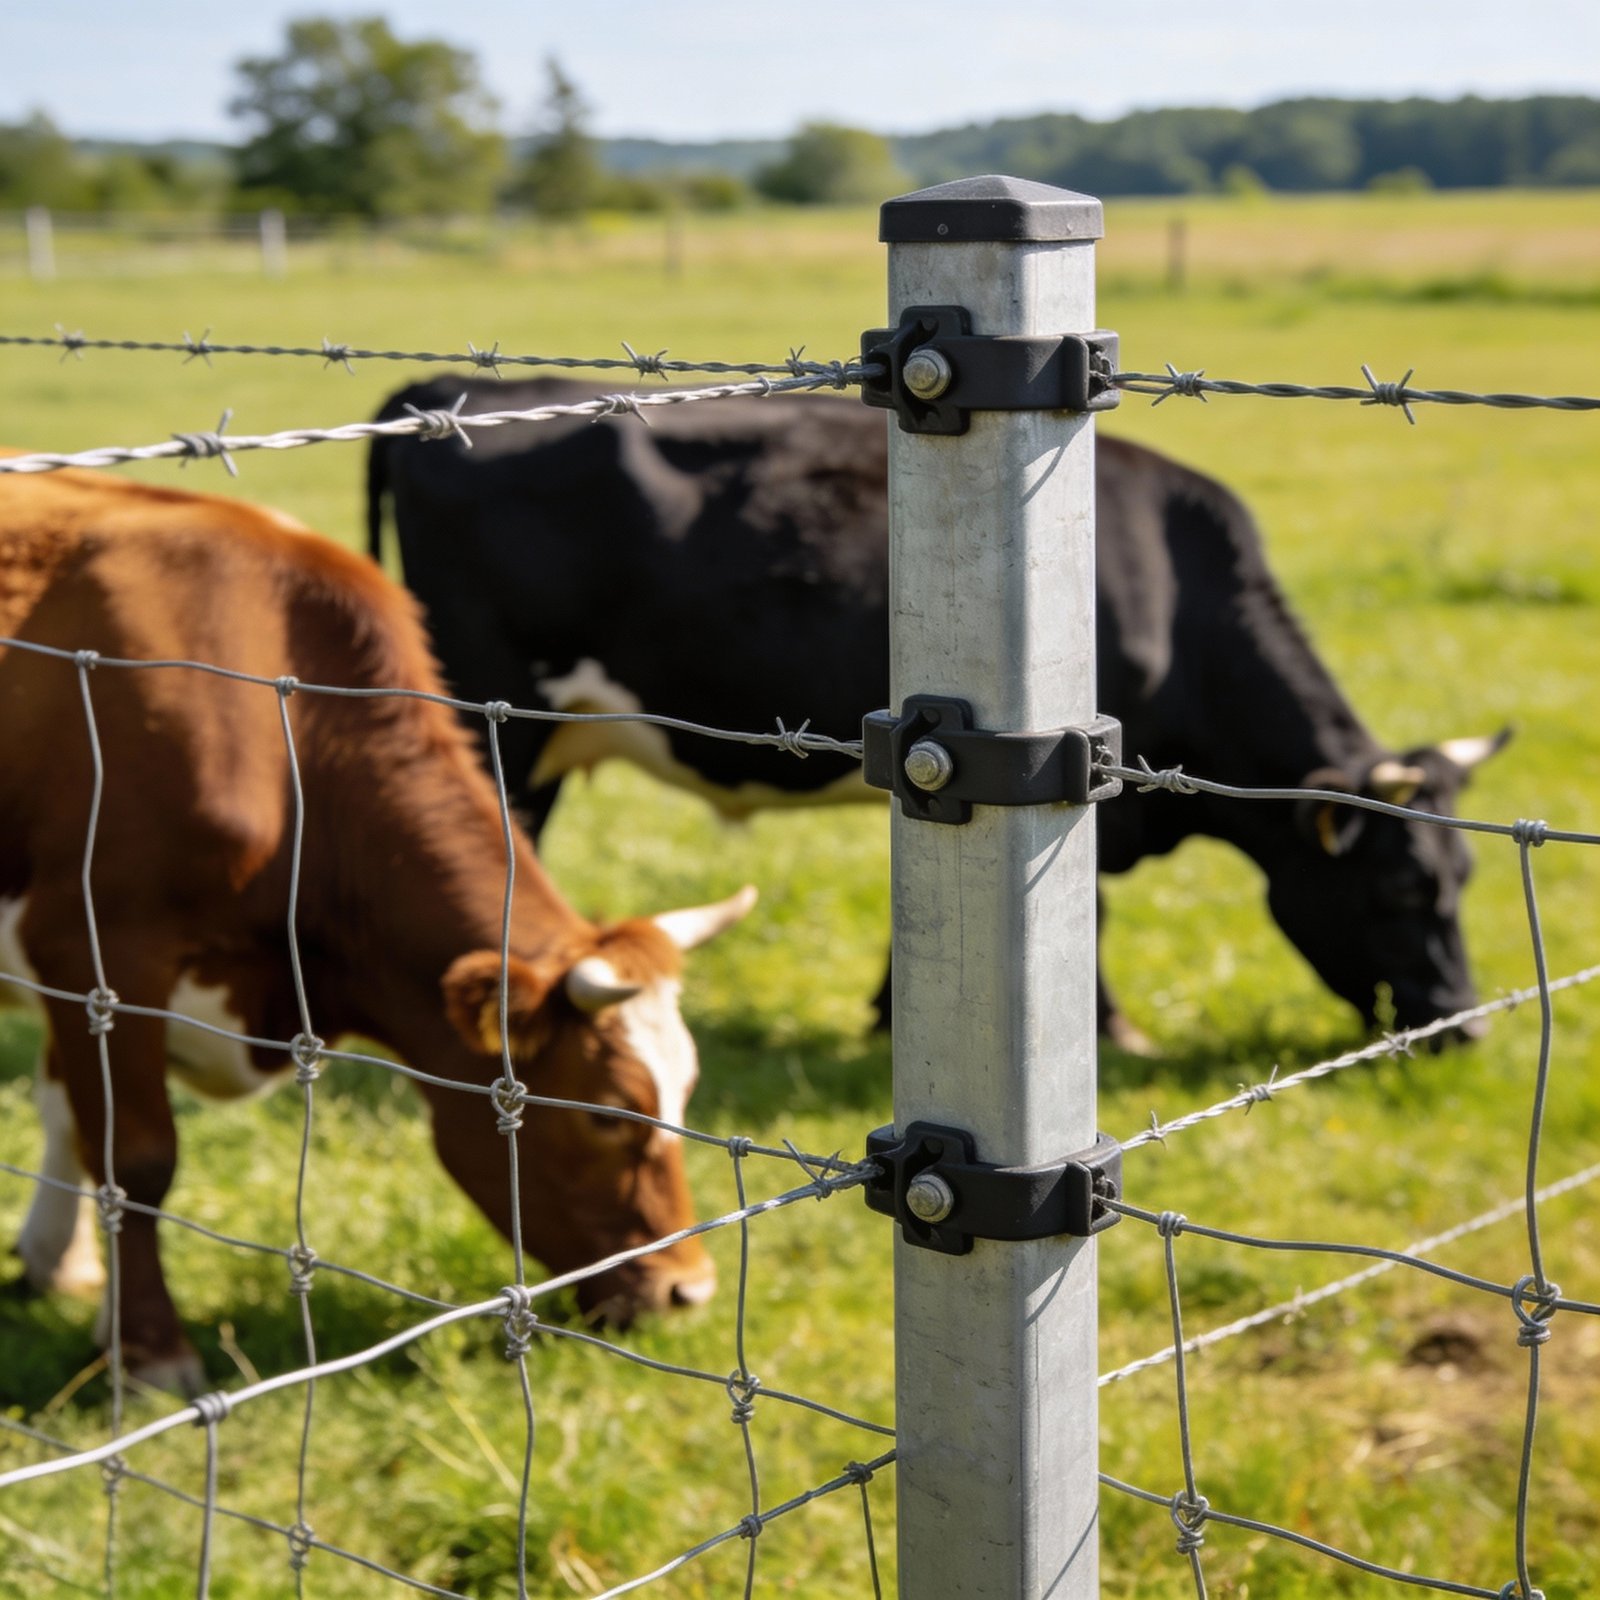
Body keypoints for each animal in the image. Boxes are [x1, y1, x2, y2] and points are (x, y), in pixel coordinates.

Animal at [0, 465, 757, 1395]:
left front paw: (62, 1268)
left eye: (688, 1091)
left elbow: (71, 1118)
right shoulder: (93, 945)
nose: (690, 1291)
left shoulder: (78, 973)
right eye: (609, 1112)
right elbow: (135, 1155)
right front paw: (149, 1354)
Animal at [367, 377, 1505, 1049]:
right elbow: (1089, 919)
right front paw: (1111, 1031)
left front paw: (883, 1016)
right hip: (494, 713)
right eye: (1399, 889)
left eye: (1465, 877)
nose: (1462, 1029)